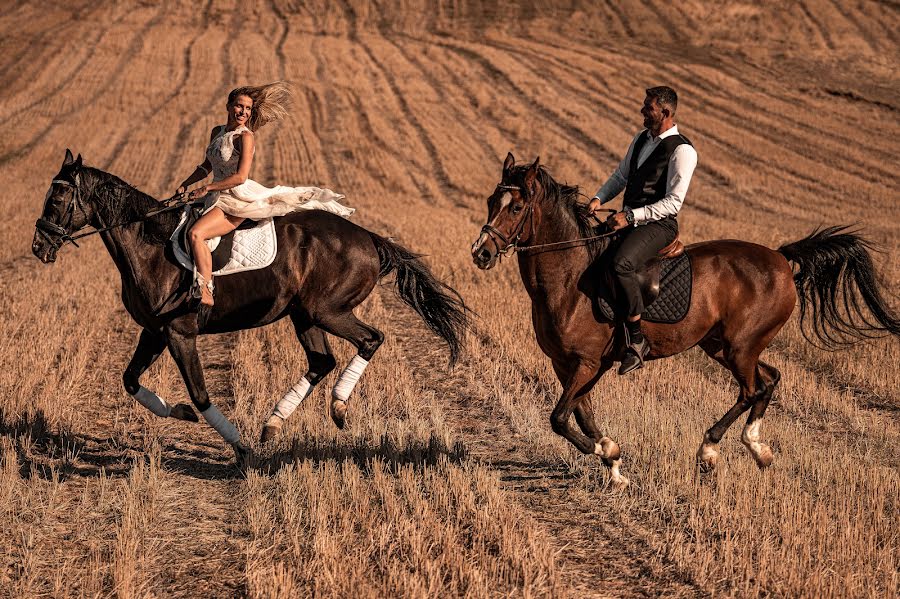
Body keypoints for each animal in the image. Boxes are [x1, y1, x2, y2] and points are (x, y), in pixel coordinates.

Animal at [31, 152, 468, 462]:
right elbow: (130, 380)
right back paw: (272, 424)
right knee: (321, 361)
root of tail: (368, 238)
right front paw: (183, 415)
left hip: (327, 311)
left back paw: (338, 408)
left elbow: (200, 394)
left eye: (58, 197)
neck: (150, 245)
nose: (38, 246)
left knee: (370, 339)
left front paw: (238, 447)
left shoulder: (179, 333)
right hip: (304, 316)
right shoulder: (154, 331)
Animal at [472, 155, 900, 488]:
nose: (481, 252)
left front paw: (605, 450)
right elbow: (581, 414)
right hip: (722, 346)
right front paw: (614, 465)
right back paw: (758, 448)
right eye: (492, 200)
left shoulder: (588, 363)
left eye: (515, 208)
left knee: (751, 389)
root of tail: (780, 258)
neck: (570, 279)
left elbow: (560, 418)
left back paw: (709, 450)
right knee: (769, 380)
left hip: (741, 346)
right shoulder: (566, 364)